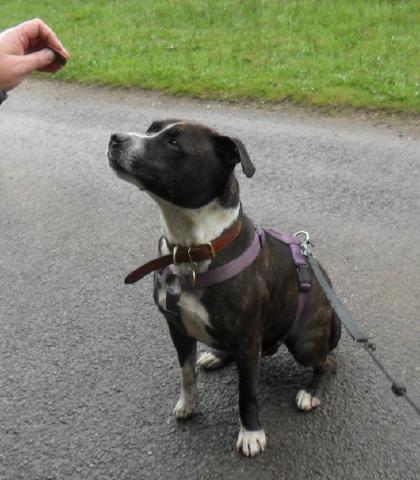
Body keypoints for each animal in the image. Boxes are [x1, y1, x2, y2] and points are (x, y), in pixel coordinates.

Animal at [108, 120, 342, 458]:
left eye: (173, 141)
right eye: (152, 128)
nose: (115, 138)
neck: (193, 249)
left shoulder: (247, 339)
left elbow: (247, 392)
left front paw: (251, 432)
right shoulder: (177, 329)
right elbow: (186, 373)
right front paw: (189, 404)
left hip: (304, 342)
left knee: (327, 362)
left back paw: (310, 392)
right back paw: (217, 356)